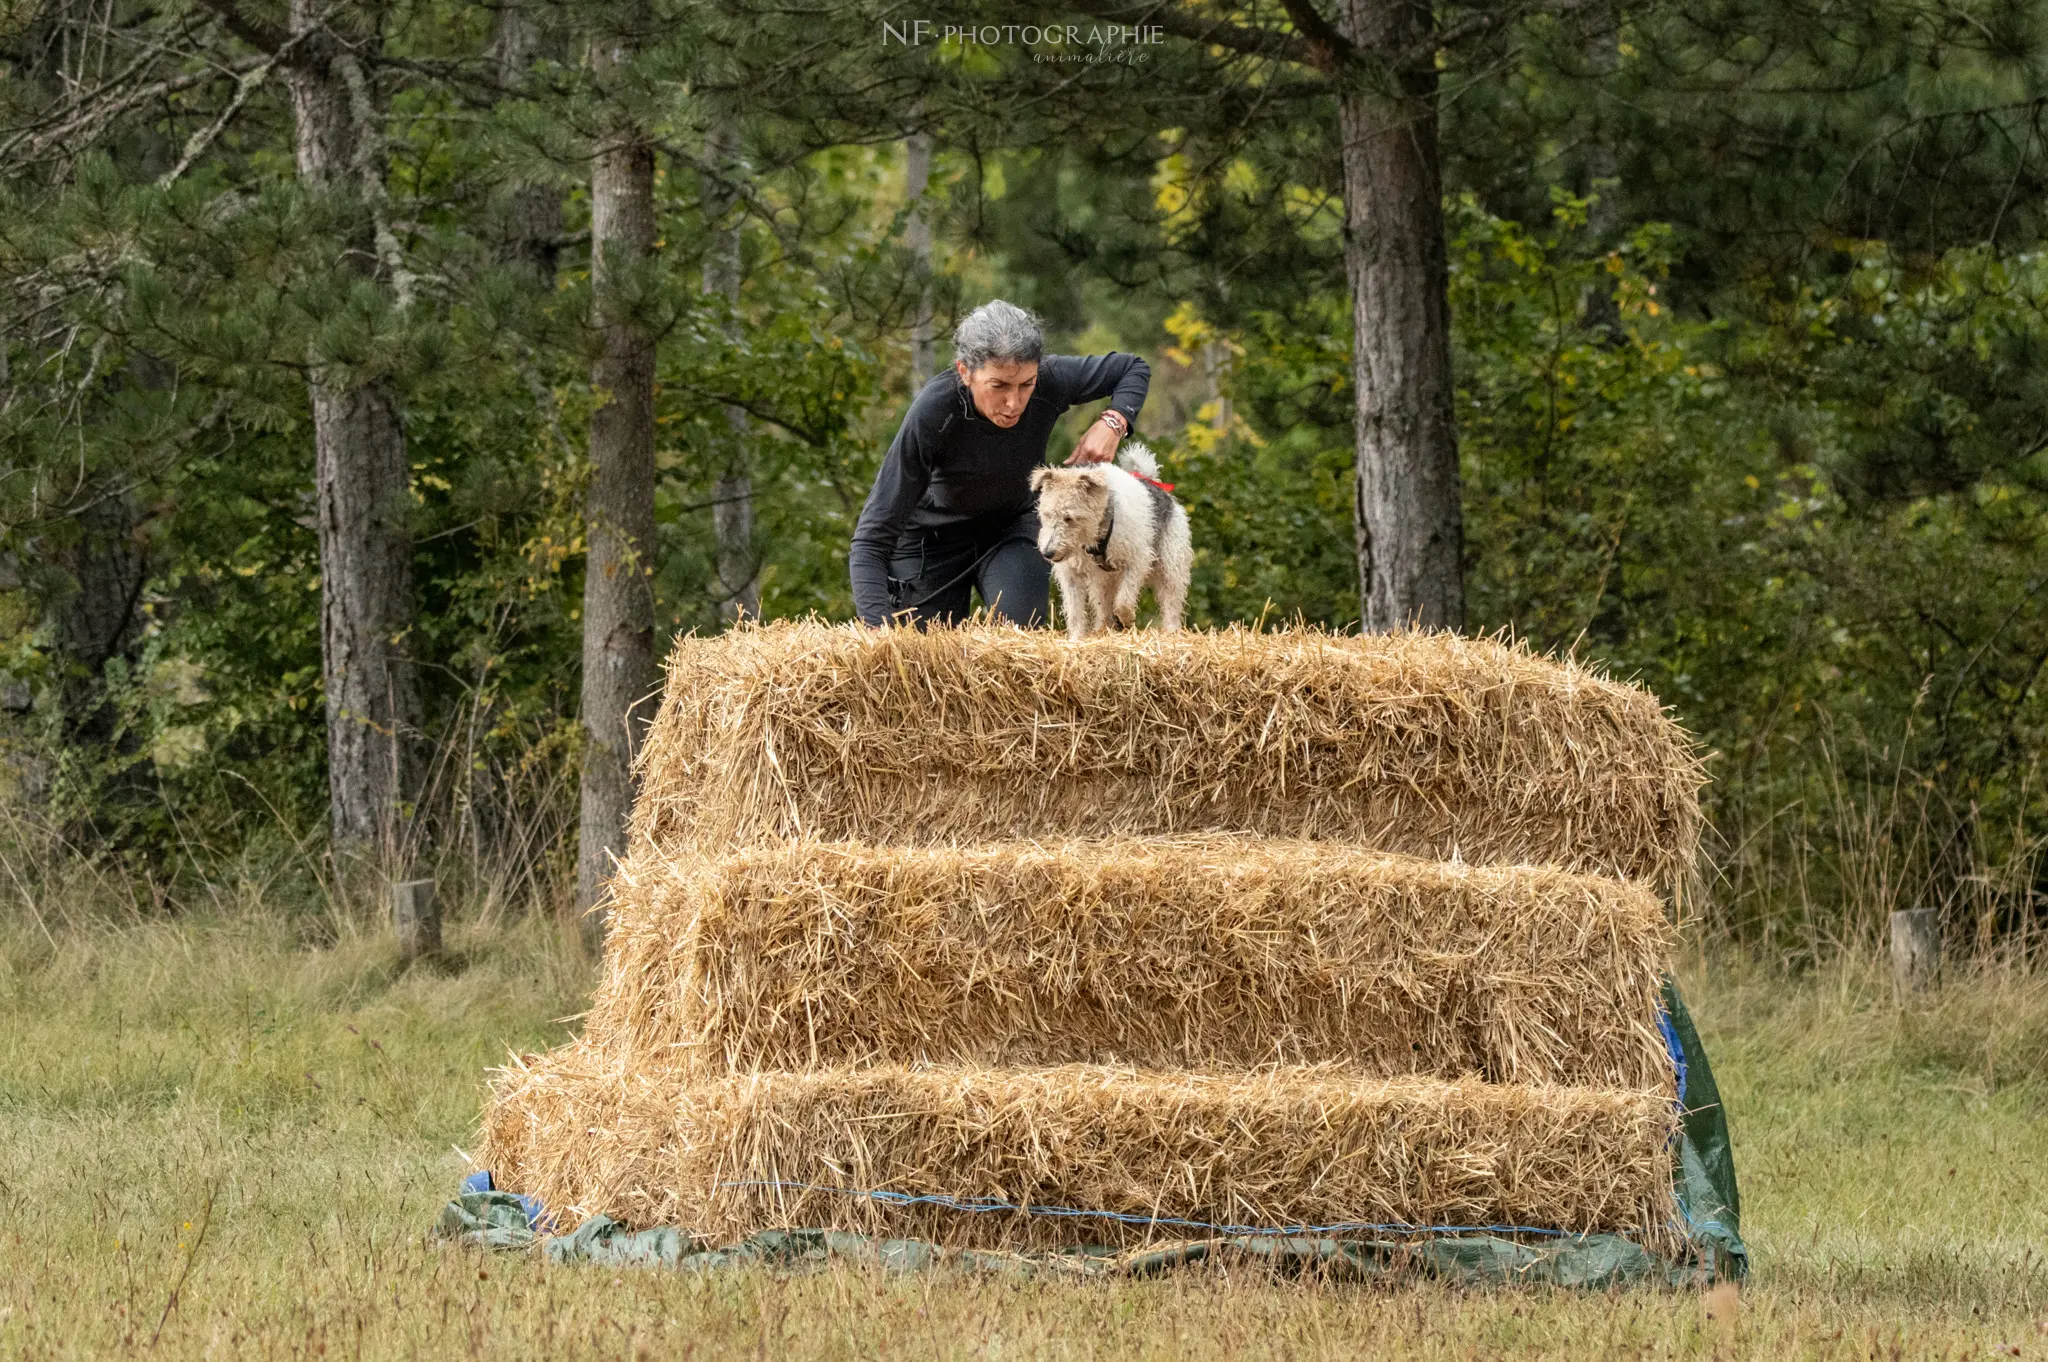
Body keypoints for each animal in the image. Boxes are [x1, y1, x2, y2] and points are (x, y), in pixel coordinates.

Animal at [1032, 444, 1196, 639]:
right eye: (1047, 514)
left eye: (1069, 518)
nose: (1048, 553)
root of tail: (1152, 482)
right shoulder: (1071, 573)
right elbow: (1074, 612)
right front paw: (1076, 639)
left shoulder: (1137, 560)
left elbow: (1123, 602)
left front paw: (1127, 619)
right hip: (1103, 581)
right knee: (1103, 608)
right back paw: (1103, 628)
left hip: (1171, 566)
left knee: (1171, 603)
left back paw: (1171, 631)